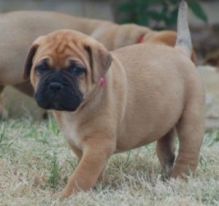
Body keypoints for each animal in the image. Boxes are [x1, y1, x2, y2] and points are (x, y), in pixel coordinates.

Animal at [24, 1, 205, 198]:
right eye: (41, 68)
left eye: (76, 70)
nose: (55, 84)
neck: (79, 108)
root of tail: (180, 52)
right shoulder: (80, 146)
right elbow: (93, 169)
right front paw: (98, 186)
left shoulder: (98, 145)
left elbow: (81, 174)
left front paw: (67, 196)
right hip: (166, 118)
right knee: (165, 147)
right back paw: (166, 173)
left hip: (191, 119)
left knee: (188, 150)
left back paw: (179, 178)